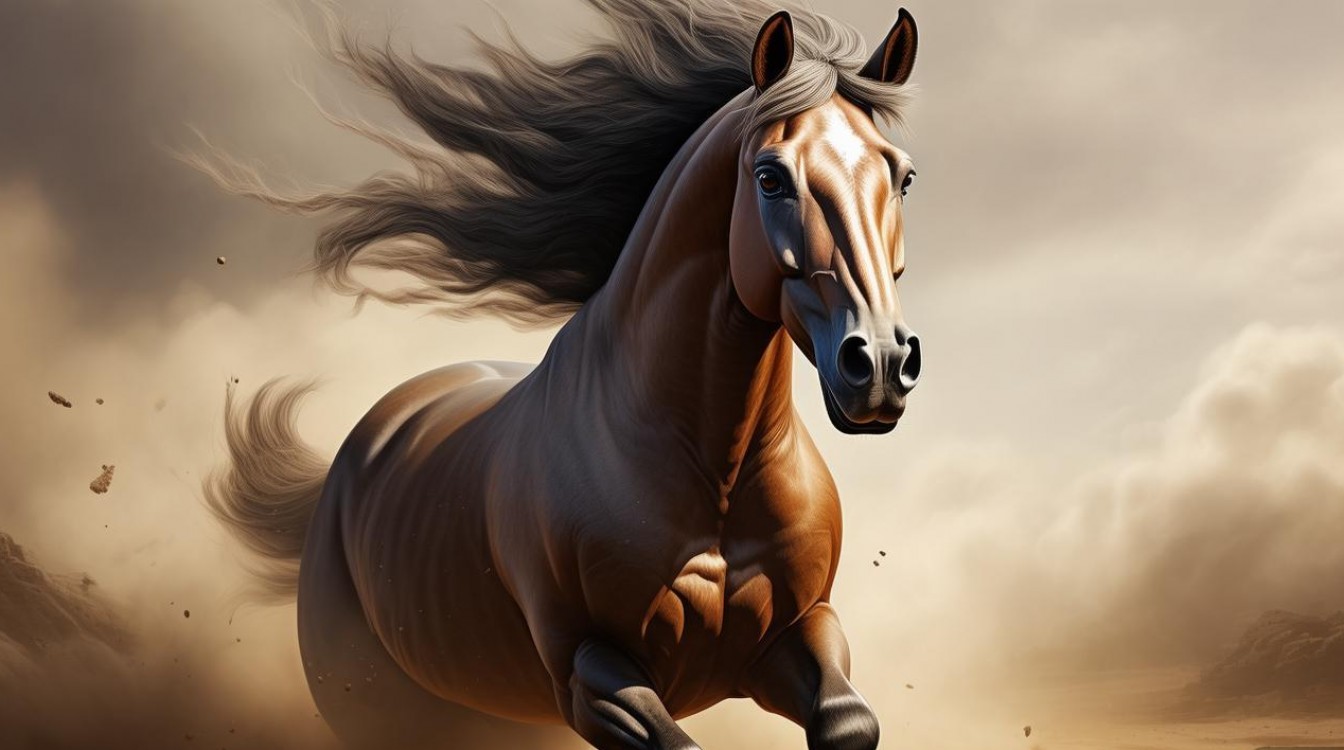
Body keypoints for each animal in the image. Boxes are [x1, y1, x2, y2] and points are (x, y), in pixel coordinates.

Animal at [206, 2, 922, 748]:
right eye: (770, 177)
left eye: (902, 177)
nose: (879, 364)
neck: (711, 474)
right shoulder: (591, 673)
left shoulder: (798, 632)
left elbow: (847, 720)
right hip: (373, 705)